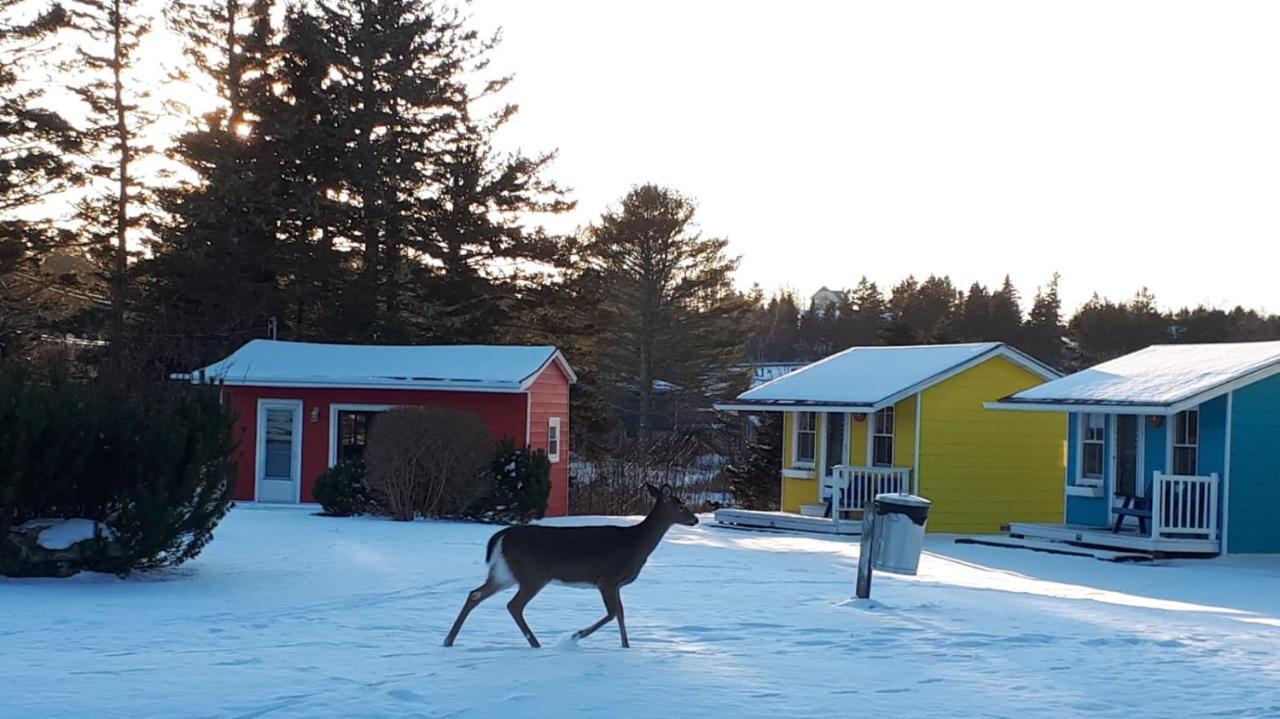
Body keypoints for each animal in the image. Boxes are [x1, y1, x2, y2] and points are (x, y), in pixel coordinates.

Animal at [442, 483, 701, 647]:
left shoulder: (615, 584)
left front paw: (626, 646)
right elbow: (613, 613)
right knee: (513, 605)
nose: (695, 519)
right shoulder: (607, 579)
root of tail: (501, 536)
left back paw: (448, 640)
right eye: (680, 506)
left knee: (475, 594)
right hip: (533, 575)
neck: (636, 543)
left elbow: (620, 614)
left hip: (505, 573)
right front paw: (576, 636)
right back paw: (536, 644)